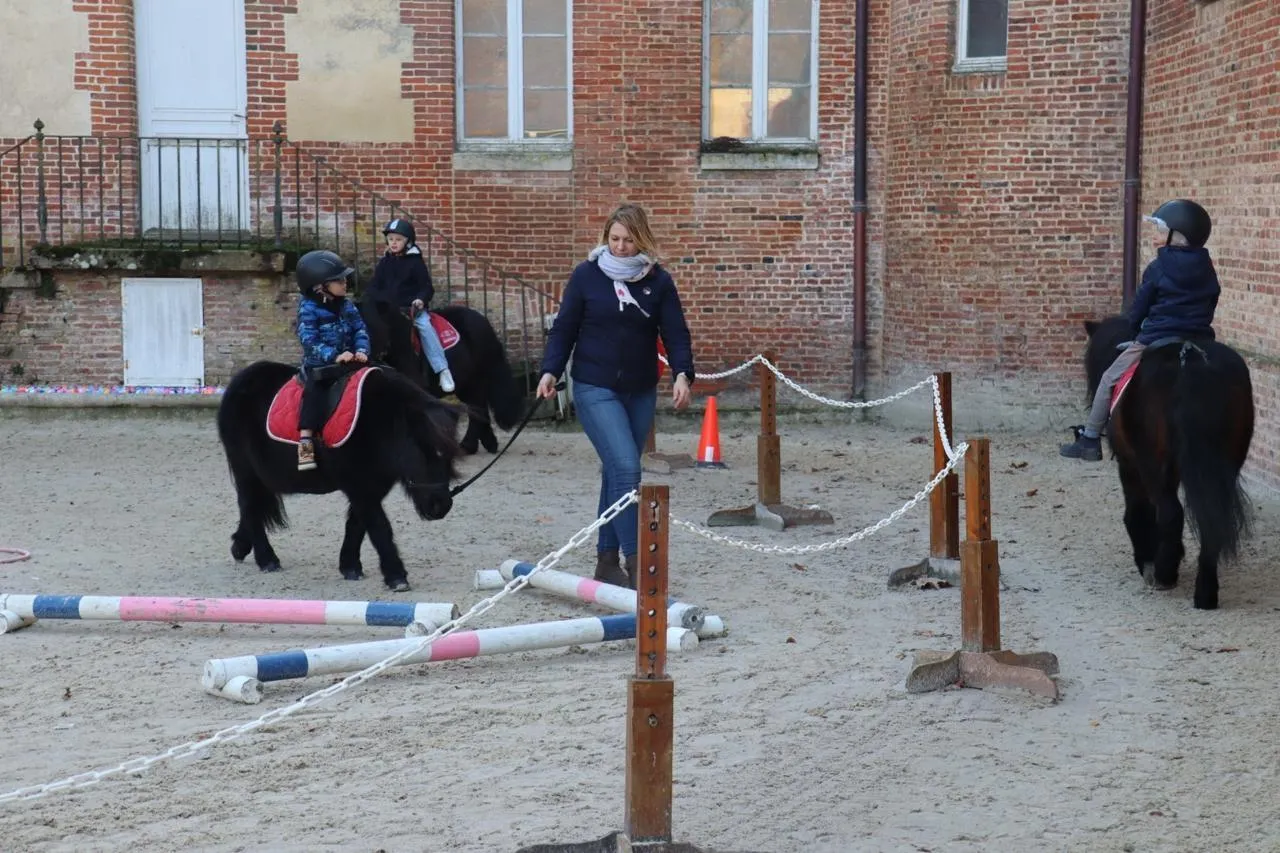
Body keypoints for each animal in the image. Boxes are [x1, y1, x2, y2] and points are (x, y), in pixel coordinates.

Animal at [216, 360, 462, 591]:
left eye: (449, 455)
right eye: (422, 450)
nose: (440, 506)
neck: (376, 421)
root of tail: (239, 382)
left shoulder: (373, 485)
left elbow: (356, 525)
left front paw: (350, 566)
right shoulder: (360, 487)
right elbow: (379, 527)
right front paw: (396, 576)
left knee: (253, 508)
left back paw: (240, 546)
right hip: (245, 469)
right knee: (249, 505)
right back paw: (266, 559)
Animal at [358, 300, 525, 455]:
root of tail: (482, 321)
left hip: (477, 379)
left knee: (477, 406)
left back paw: (469, 445)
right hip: (466, 383)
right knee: (478, 408)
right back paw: (485, 444)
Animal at [1080, 315, 1254, 609]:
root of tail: (1191, 358)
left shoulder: (1129, 465)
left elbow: (1138, 512)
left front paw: (1147, 559)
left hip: (1152, 464)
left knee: (1171, 512)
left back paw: (1164, 573)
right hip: (1227, 462)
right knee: (1211, 521)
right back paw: (1205, 593)